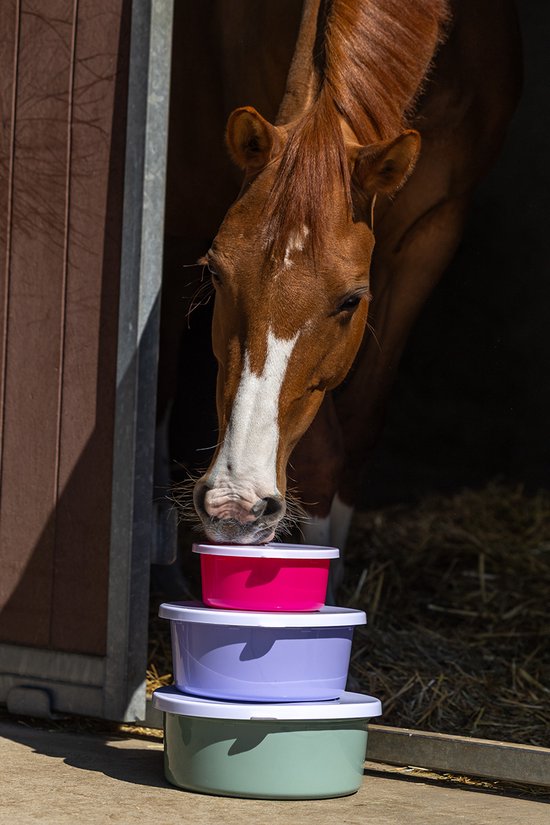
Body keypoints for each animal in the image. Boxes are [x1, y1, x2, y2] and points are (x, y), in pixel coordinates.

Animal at [161, 0, 522, 572]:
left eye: (352, 300)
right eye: (216, 273)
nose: (235, 503)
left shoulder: (433, 231)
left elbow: (362, 421)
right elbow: (322, 453)